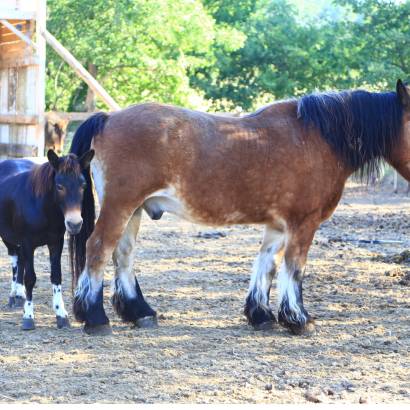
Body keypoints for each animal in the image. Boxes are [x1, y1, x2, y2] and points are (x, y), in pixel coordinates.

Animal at [69, 79, 410, 336]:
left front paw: (261, 315)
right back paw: (95, 318)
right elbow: (294, 268)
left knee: (123, 255)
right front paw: (299, 319)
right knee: (98, 248)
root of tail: (108, 119)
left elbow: (266, 265)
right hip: (120, 206)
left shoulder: (277, 225)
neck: (317, 138)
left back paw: (139, 313)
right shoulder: (303, 224)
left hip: (135, 210)